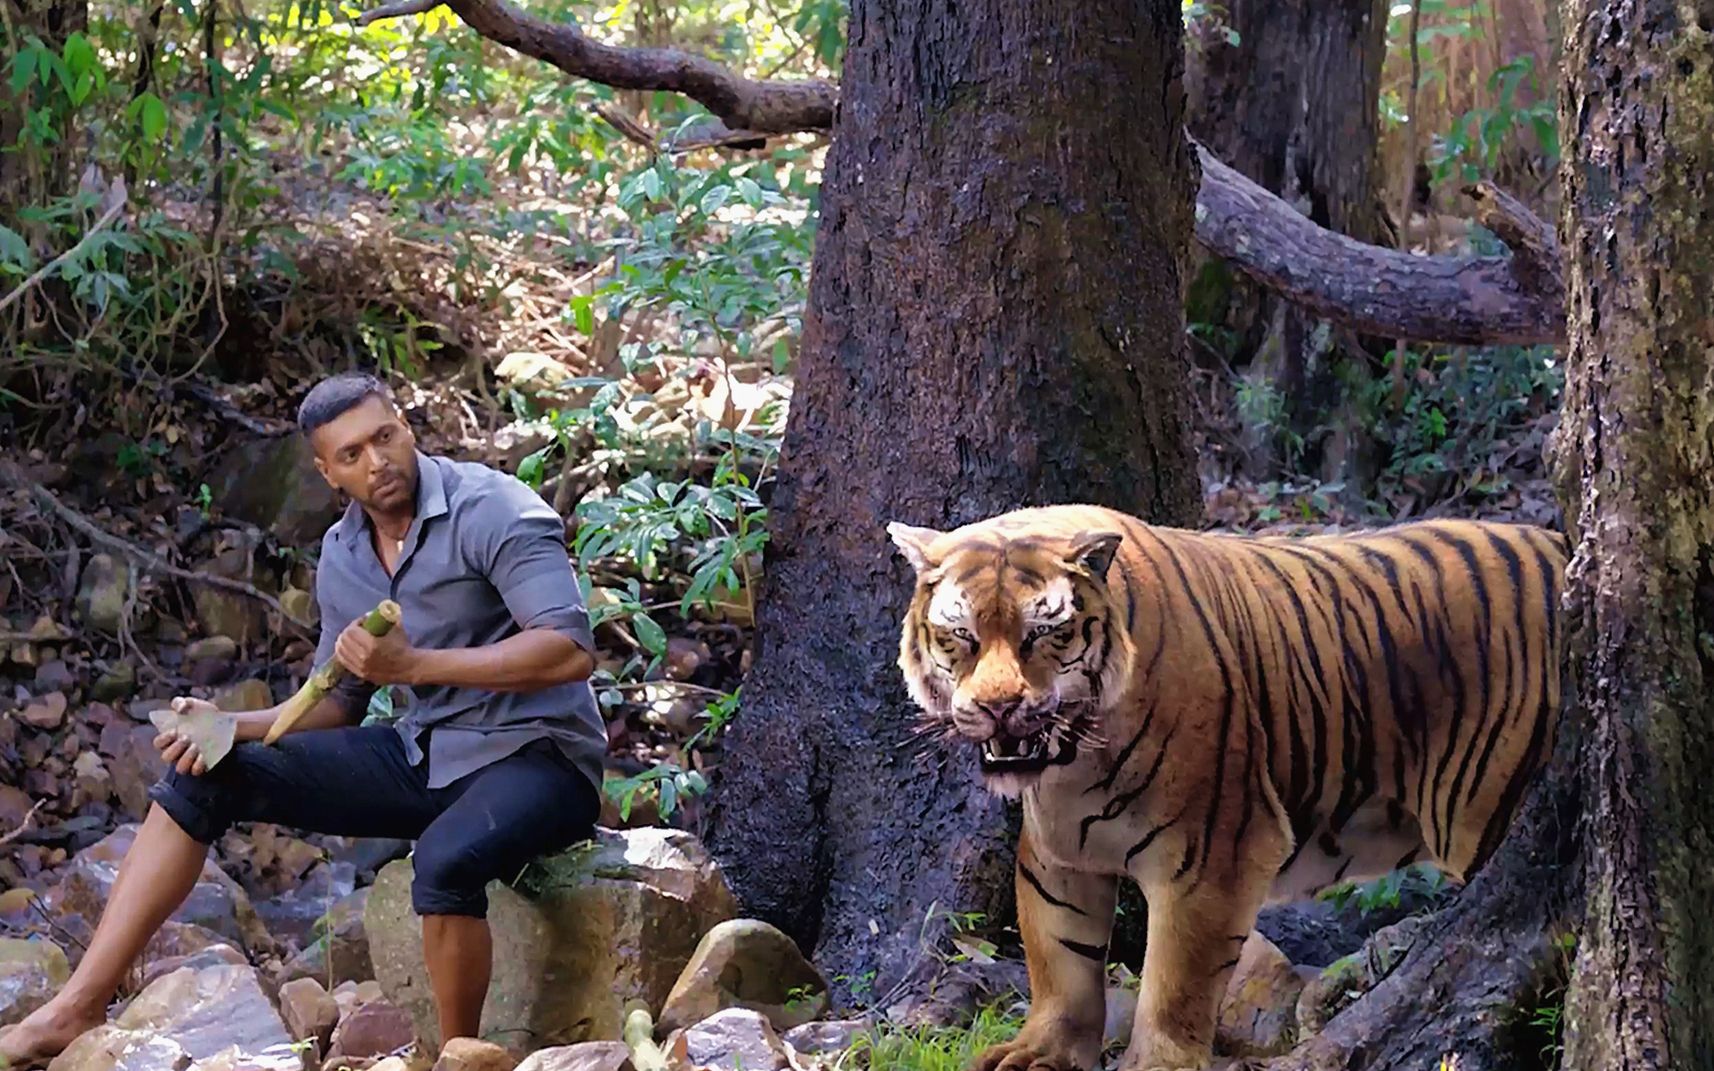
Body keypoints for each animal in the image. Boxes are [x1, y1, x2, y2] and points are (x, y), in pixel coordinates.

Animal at [884, 503, 1570, 1069]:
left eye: (1043, 634)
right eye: (962, 635)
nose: (999, 707)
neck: (1073, 765)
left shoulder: (1214, 851)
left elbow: (1175, 980)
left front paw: (1156, 1065)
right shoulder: (1057, 856)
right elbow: (1060, 959)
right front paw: (1039, 1053)